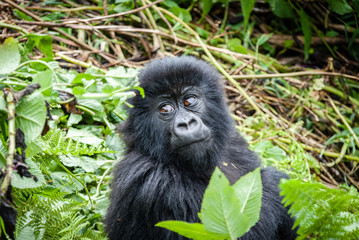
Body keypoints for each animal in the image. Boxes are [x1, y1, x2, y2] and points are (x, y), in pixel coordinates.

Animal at [105, 55, 298, 239]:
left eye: (189, 101)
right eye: (165, 109)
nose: (186, 123)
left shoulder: (233, 141)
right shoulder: (153, 180)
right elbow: (227, 232)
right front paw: (277, 182)